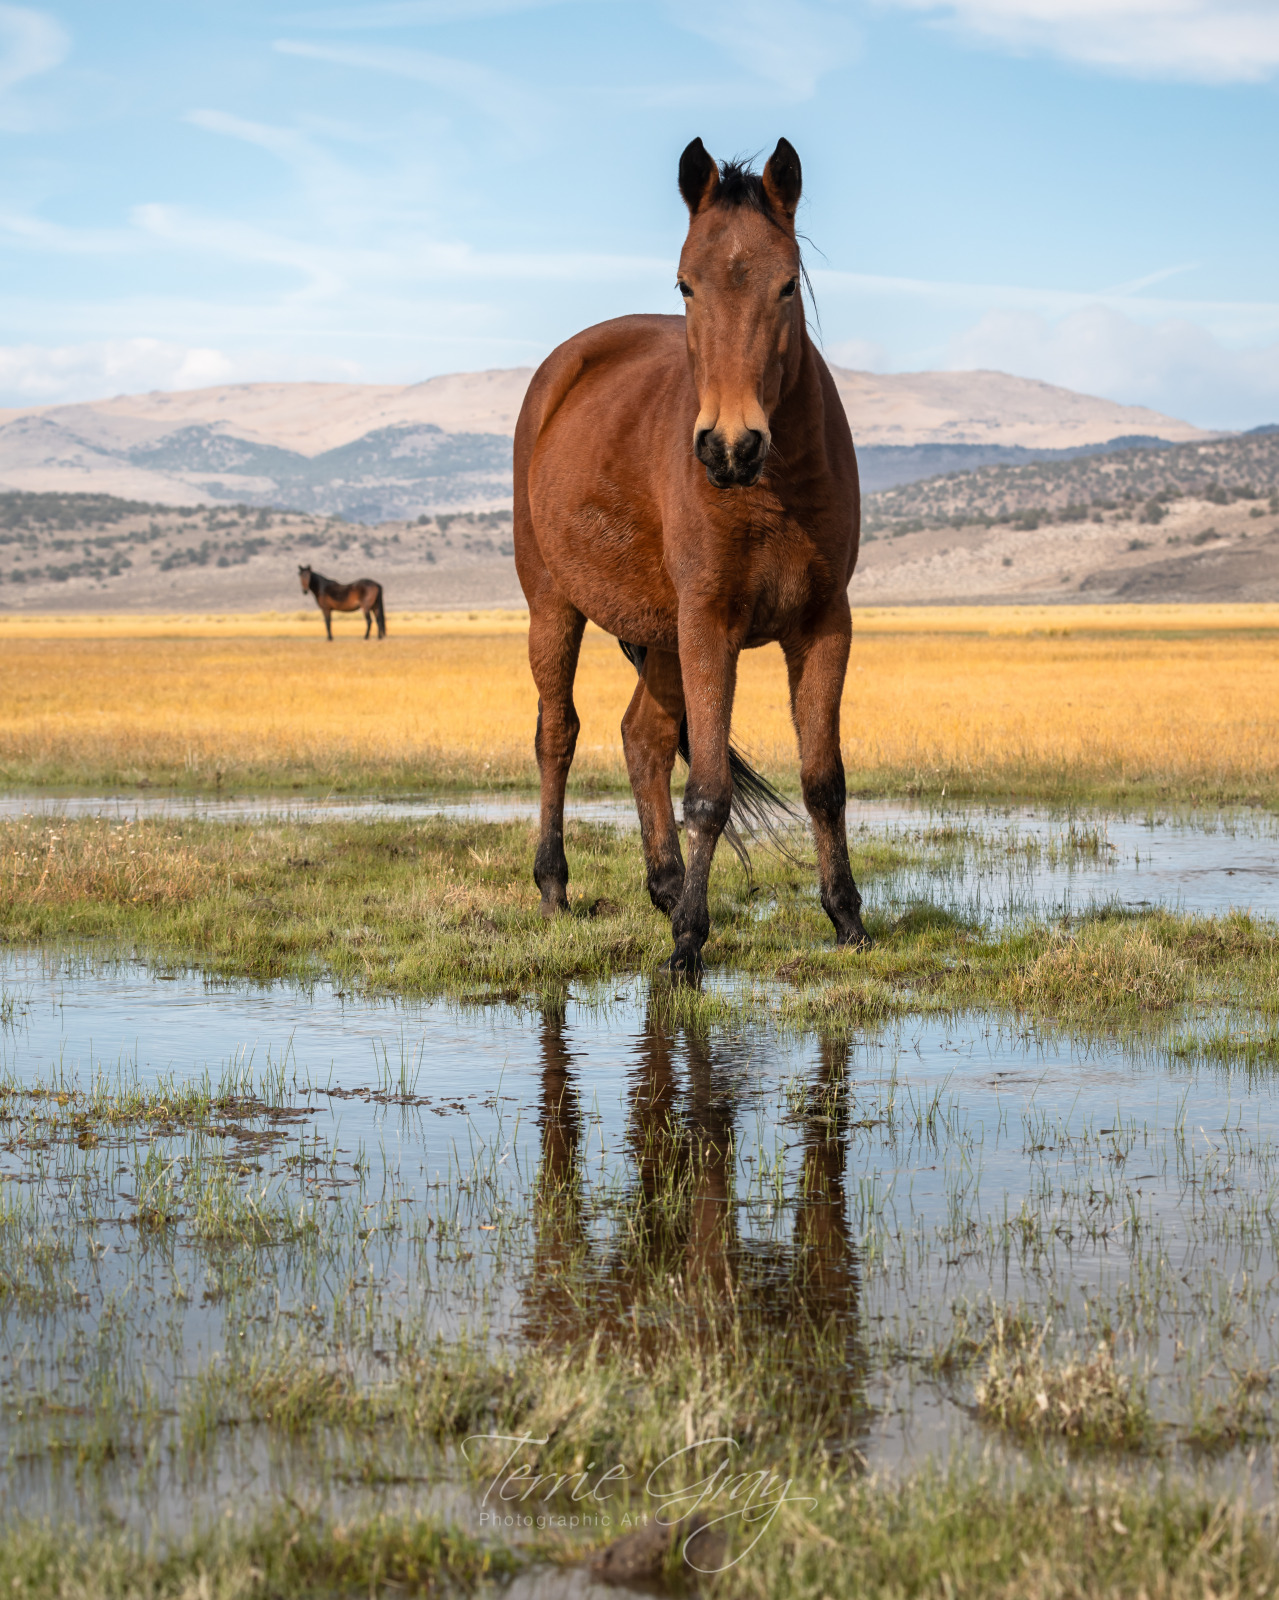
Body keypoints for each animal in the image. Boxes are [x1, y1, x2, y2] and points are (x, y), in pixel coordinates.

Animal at [518, 137, 870, 966]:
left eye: (785, 286)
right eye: (685, 283)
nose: (729, 445)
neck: (772, 487)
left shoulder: (823, 625)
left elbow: (823, 780)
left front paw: (846, 917)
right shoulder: (711, 623)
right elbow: (708, 791)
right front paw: (686, 946)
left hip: (658, 634)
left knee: (641, 738)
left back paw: (666, 884)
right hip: (555, 605)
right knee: (559, 734)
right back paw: (555, 887)